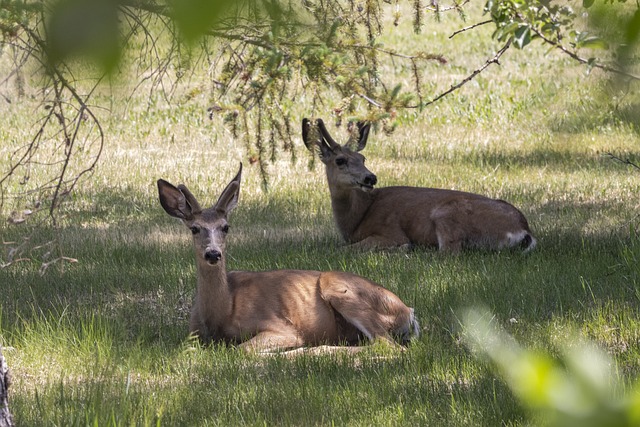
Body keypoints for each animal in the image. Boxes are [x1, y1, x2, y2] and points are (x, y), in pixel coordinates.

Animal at [157, 164, 420, 354]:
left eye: (226, 227)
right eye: (194, 228)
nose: (213, 253)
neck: (221, 312)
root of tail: (408, 312)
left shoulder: (279, 327)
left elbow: (241, 349)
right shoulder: (192, 335)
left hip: (340, 289)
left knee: (390, 346)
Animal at [302, 117, 536, 252]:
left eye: (362, 158)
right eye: (340, 160)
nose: (370, 178)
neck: (356, 219)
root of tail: (524, 230)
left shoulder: (390, 231)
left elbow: (343, 249)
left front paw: (403, 247)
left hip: (447, 213)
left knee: (448, 253)